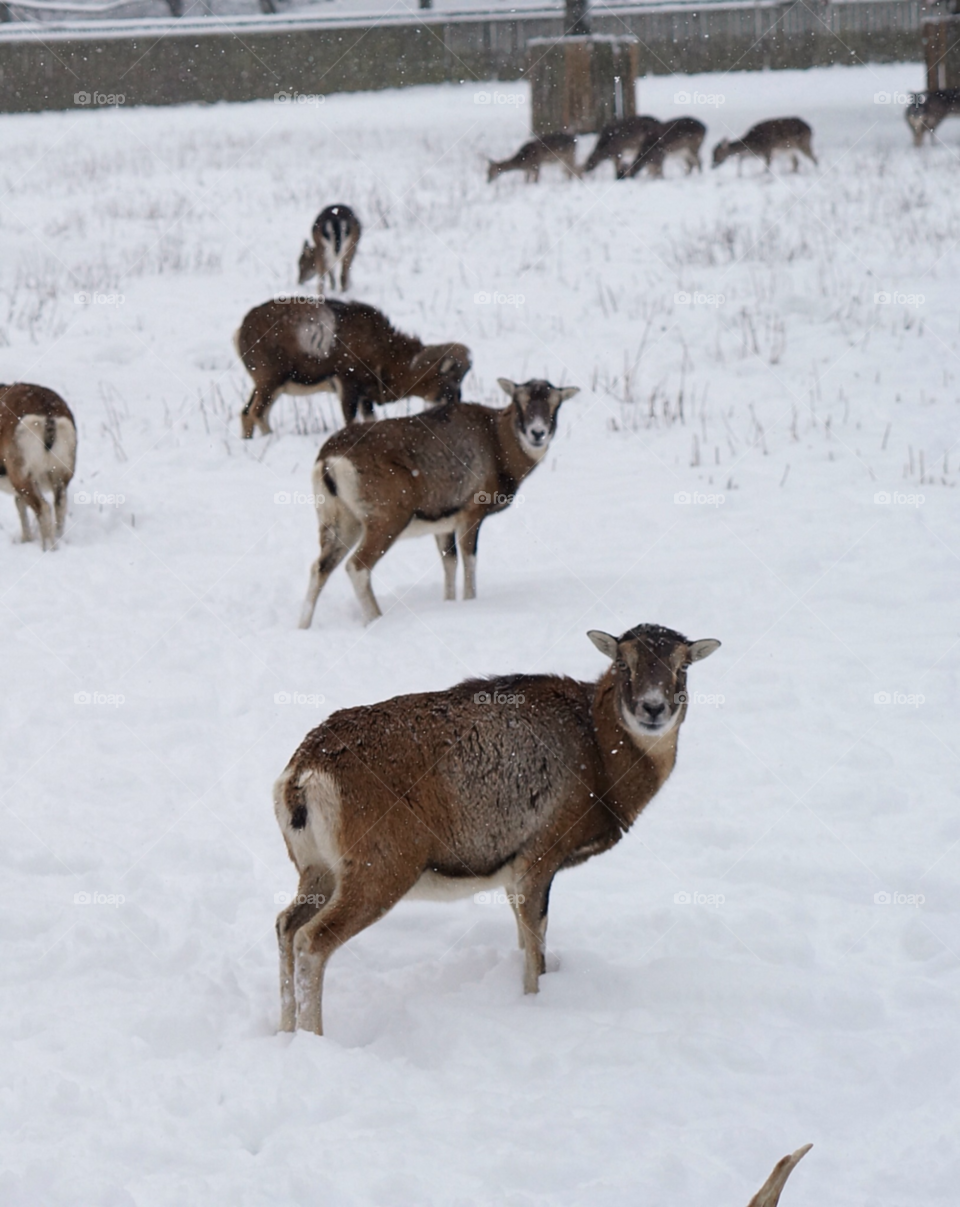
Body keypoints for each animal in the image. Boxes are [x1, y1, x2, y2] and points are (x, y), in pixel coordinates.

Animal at [0, 383, 77, 550]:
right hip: (60, 477)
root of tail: (48, 416)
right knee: (59, 508)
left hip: (23, 479)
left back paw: (47, 548)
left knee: (44, 508)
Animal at [235, 297, 471, 435]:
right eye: (450, 377)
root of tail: (242, 330)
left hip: (269, 387)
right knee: (257, 414)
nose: (456, 402)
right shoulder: (348, 389)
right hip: (270, 383)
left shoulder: (365, 398)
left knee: (247, 413)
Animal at [274, 621, 721, 1034]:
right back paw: (314, 1035)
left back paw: (286, 1030)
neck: (600, 761)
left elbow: (525, 937)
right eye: (623, 662)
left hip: (317, 869)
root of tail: (303, 776)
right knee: (312, 941)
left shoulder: (511, 870)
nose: (652, 708)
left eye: (682, 666)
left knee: (285, 925)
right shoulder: (540, 854)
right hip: (380, 869)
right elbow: (536, 948)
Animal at [298, 377, 578, 628]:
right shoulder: (471, 513)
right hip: (386, 521)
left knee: (319, 568)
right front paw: (470, 602)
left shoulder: (443, 524)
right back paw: (375, 619)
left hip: (340, 523)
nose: (537, 433)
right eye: (521, 402)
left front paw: (449, 603)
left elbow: (449, 563)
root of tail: (329, 462)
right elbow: (469, 561)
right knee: (357, 566)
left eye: (556, 405)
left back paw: (303, 626)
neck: (498, 447)